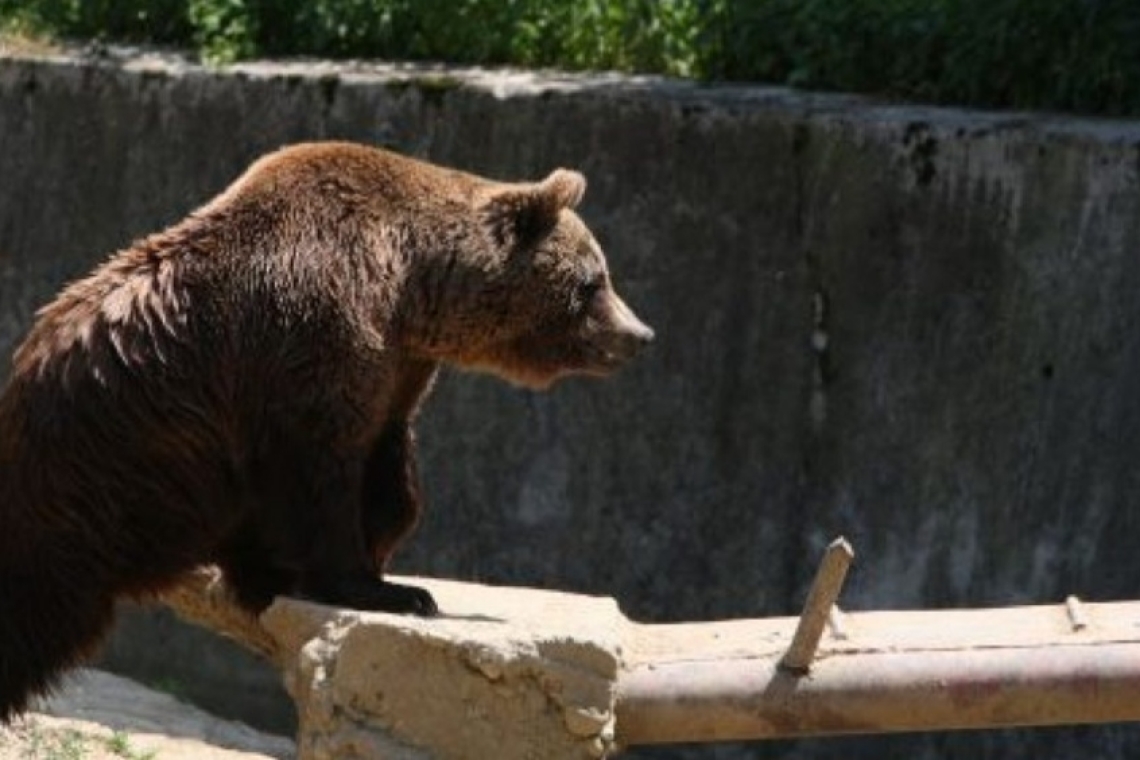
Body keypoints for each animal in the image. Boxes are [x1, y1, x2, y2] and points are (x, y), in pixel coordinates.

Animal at [0, 141, 656, 720]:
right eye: (594, 280)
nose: (639, 334)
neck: (411, 288)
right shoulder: (315, 330)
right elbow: (319, 471)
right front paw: (392, 590)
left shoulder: (396, 367)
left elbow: (389, 470)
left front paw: (364, 554)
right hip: (95, 490)